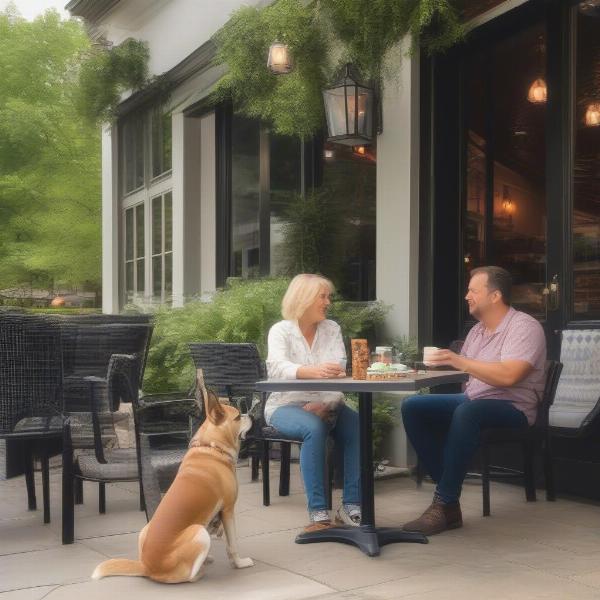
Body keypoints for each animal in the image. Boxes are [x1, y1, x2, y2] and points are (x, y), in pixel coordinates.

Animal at [92, 370, 254, 580]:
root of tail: (147, 567)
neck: (211, 448)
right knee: (188, 575)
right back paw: (200, 570)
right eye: (237, 417)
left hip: (147, 529)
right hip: (199, 531)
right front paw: (240, 563)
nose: (251, 415)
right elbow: (232, 545)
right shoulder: (228, 510)